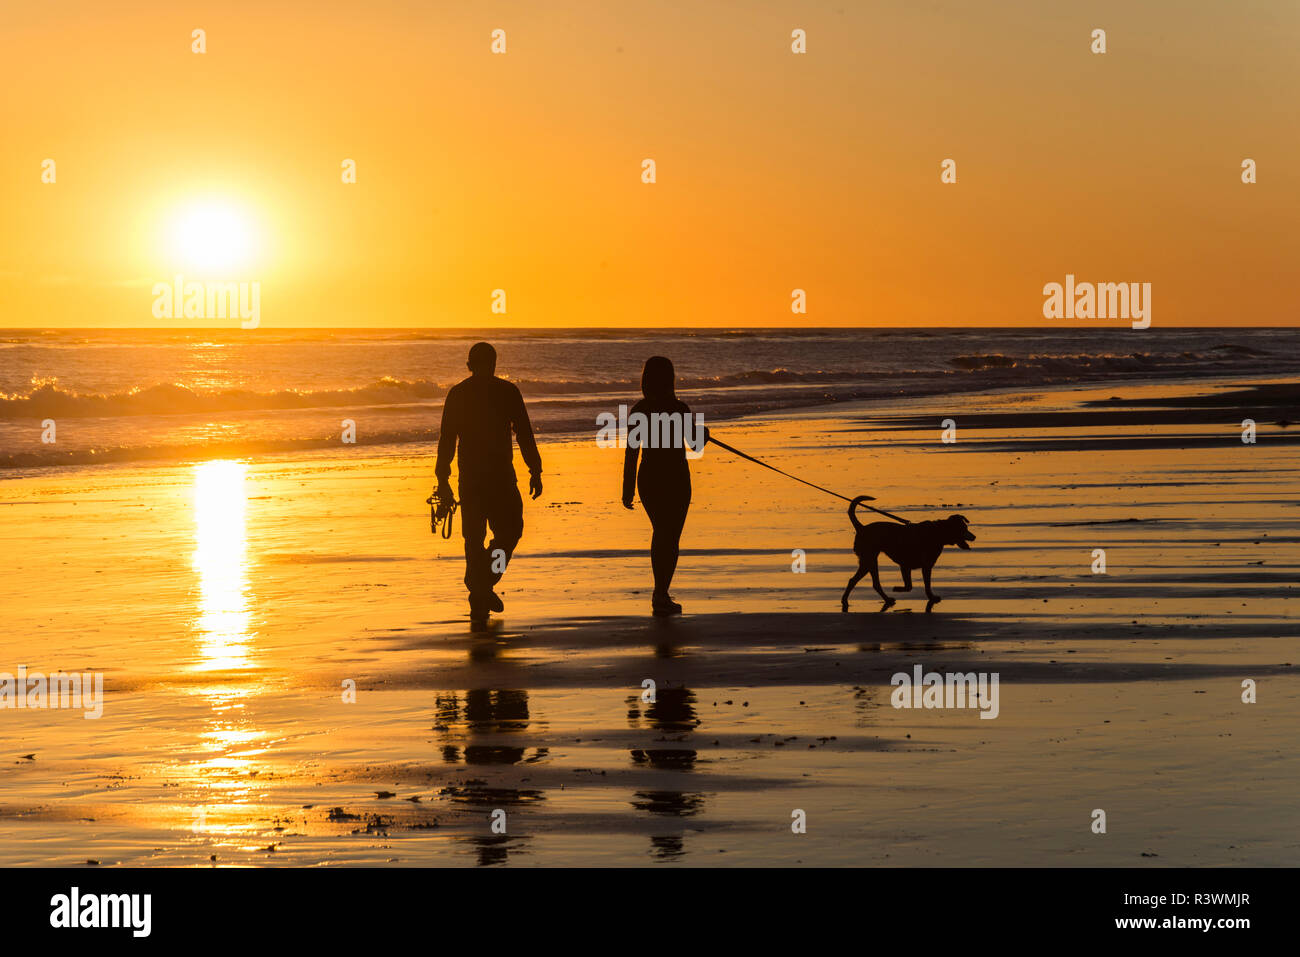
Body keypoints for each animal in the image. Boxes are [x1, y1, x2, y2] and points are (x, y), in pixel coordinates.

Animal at [842, 496, 977, 608]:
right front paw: (930, 597)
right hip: (869, 559)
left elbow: (911, 586)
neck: (938, 532)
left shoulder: (908, 566)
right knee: (870, 582)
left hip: (867, 560)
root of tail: (861, 528)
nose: (974, 537)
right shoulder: (920, 566)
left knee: (860, 581)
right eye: (964, 529)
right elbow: (922, 585)